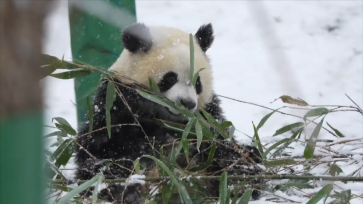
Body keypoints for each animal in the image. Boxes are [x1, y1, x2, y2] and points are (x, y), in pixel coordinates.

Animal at [76, 23, 264, 203]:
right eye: (170, 78)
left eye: (198, 82)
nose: (187, 103)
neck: (165, 118)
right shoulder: (115, 103)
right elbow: (102, 151)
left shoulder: (205, 117)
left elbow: (220, 143)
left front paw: (240, 169)